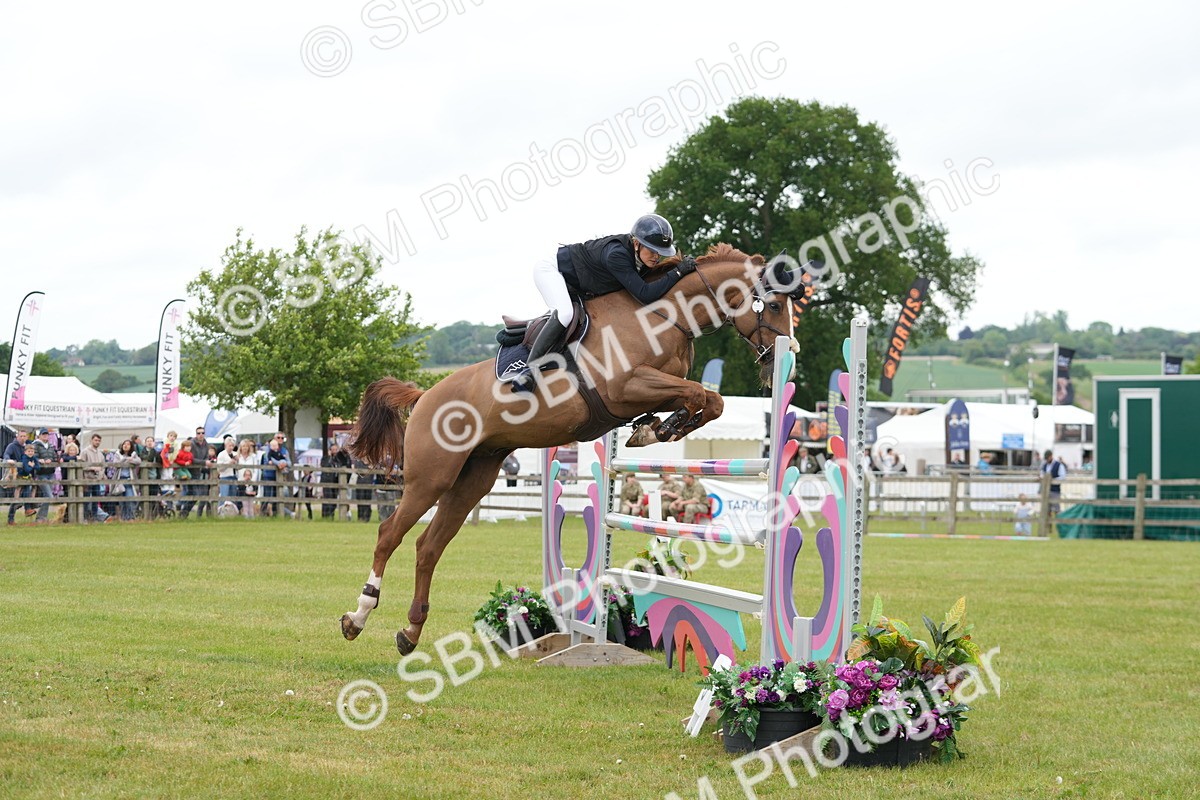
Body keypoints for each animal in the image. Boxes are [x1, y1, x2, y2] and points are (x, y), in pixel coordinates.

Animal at [341, 243, 806, 654]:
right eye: (774, 307)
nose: (785, 362)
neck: (663, 316)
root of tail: (424, 395)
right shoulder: (627, 387)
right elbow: (699, 394)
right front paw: (660, 429)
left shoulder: (656, 387)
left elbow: (709, 400)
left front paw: (660, 428)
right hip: (433, 476)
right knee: (389, 534)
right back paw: (357, 616)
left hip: (474, 477)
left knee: (429, 547)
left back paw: (410, 632)